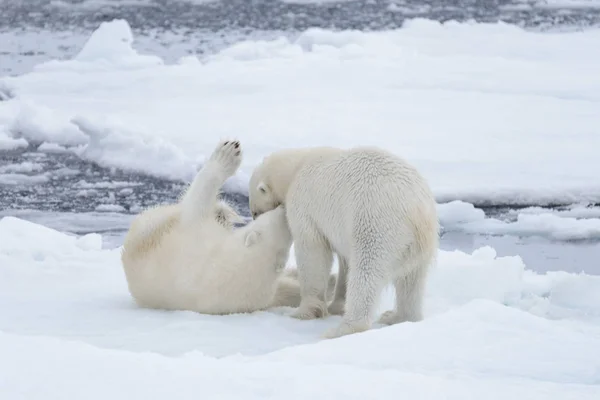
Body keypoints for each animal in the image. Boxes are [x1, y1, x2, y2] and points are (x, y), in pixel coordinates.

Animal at [246, 145, 438, 340]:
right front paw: (336, 305)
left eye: (255, 212)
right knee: (412, 280)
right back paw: (397, 316)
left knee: (366, 273)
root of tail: (417, 211)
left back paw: (341, 329)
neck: (296, 168)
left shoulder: (305, 205)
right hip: (419, 245)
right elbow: (345, 261)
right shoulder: (342, 228)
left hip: (377, 226)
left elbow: (313, 252)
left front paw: (304, 312)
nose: (254, 217)